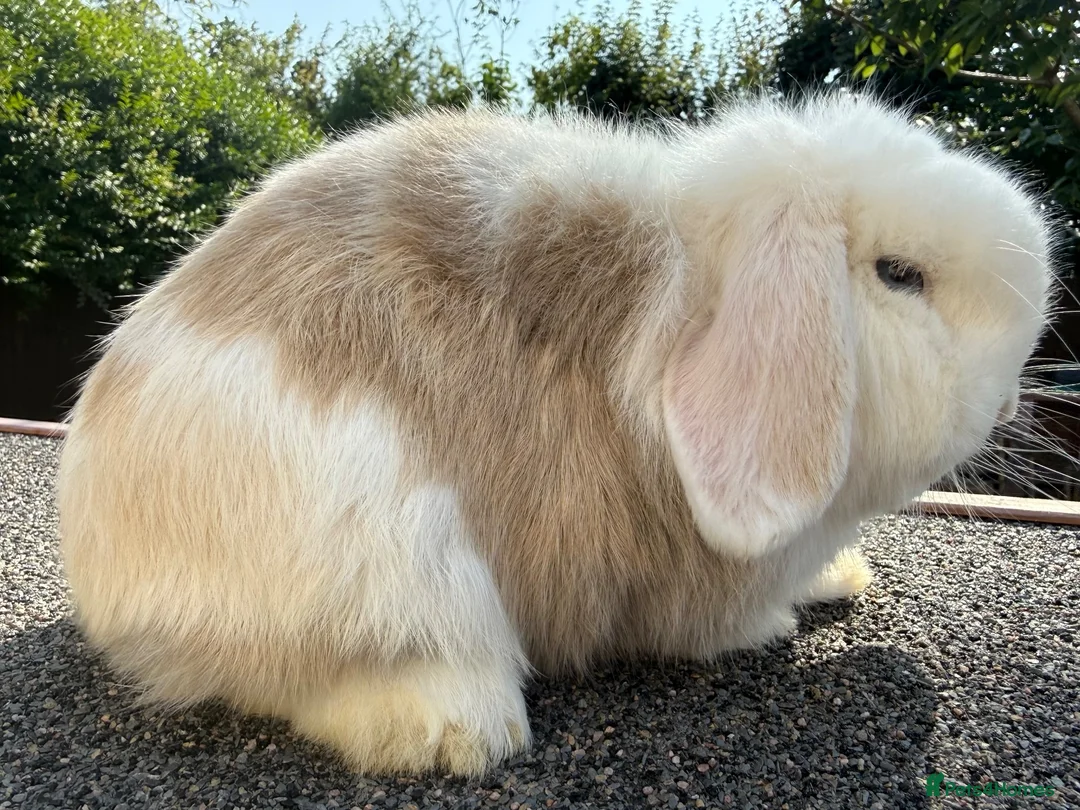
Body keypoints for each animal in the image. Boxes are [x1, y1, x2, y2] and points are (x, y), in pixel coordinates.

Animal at [55, 91, 1055, 777]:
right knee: (308, 670)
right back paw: (451, 728)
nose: (1007, 404)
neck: (691, 293)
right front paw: (771, 625)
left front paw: (838, 578)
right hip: (367, 536)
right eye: (899, 273)